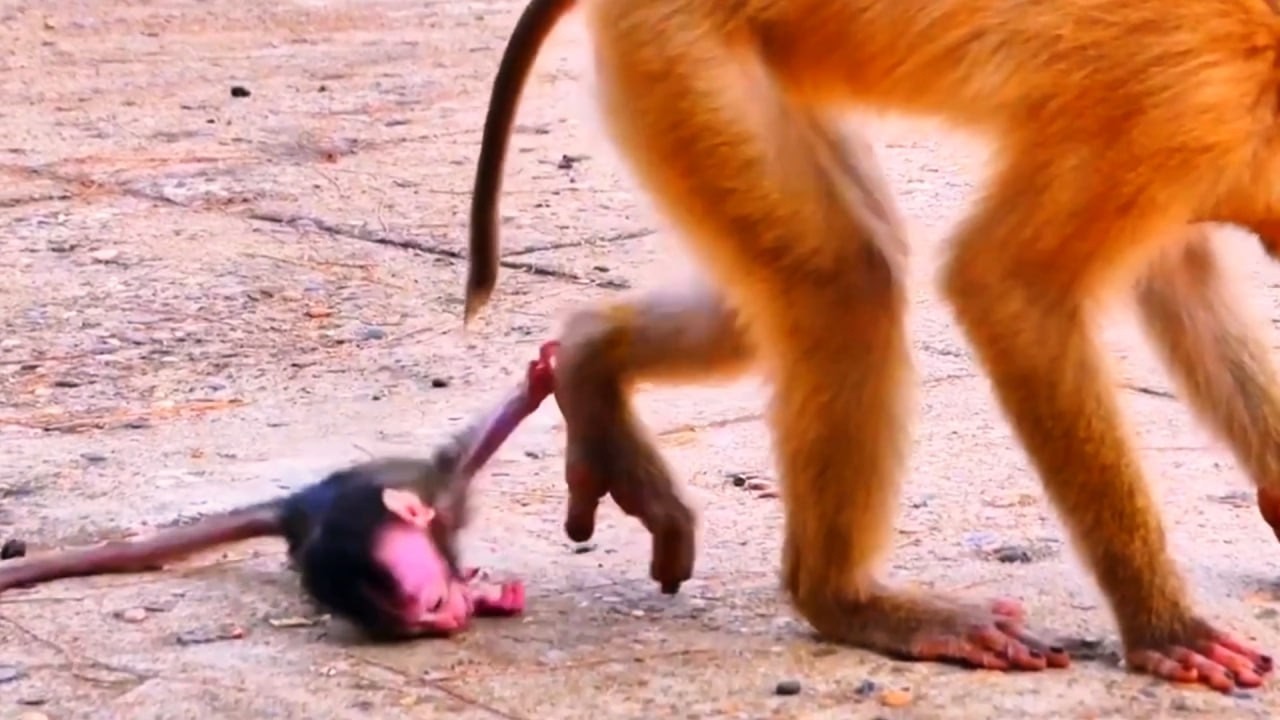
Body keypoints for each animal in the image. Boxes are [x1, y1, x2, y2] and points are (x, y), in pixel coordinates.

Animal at [0, 342, 558, 639]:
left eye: (437, 602)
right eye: (424, 619)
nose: (453, 621)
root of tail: (301, 506)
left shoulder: (438, 489)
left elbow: (466, 451)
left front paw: (534, 387)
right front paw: (483, 598)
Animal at [463, 0, 1280, 693]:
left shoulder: (1200, 136)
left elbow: (1173, 272)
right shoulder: (1195, 100)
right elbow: (1008, 287)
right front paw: (1163, 627)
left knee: (778, 300)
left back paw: (588, 361)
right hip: (676, 50)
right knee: (845, 281)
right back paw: (844, 601)